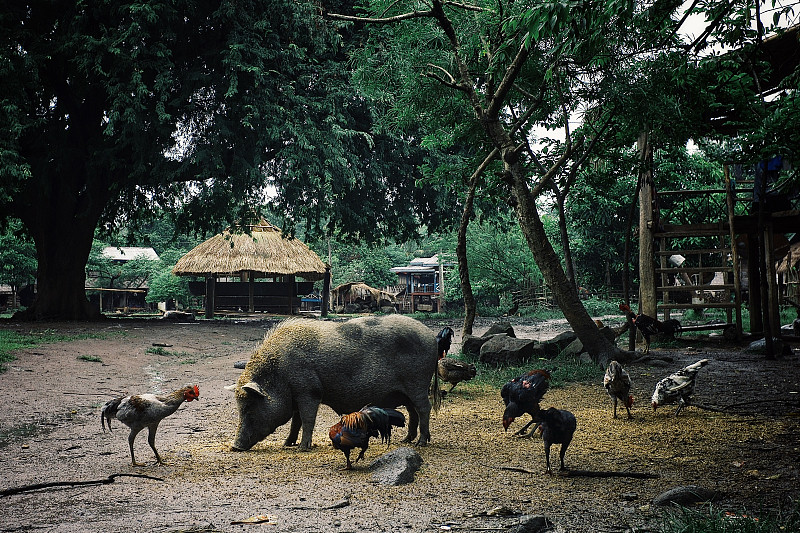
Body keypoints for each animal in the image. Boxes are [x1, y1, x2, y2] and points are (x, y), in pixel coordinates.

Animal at [230, 314, 444, 450]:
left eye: (249, 406)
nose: (235, 447)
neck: (278, 372)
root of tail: (431, 337)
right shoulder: (297, 396)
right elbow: (295, 422)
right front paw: (286, 444)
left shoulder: (309, 391)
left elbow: (307, 419)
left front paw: (302, 448)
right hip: (407, 392)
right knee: (412, 412)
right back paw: (406, 441)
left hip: (417, 383)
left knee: (424, 408)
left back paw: (421, 443)